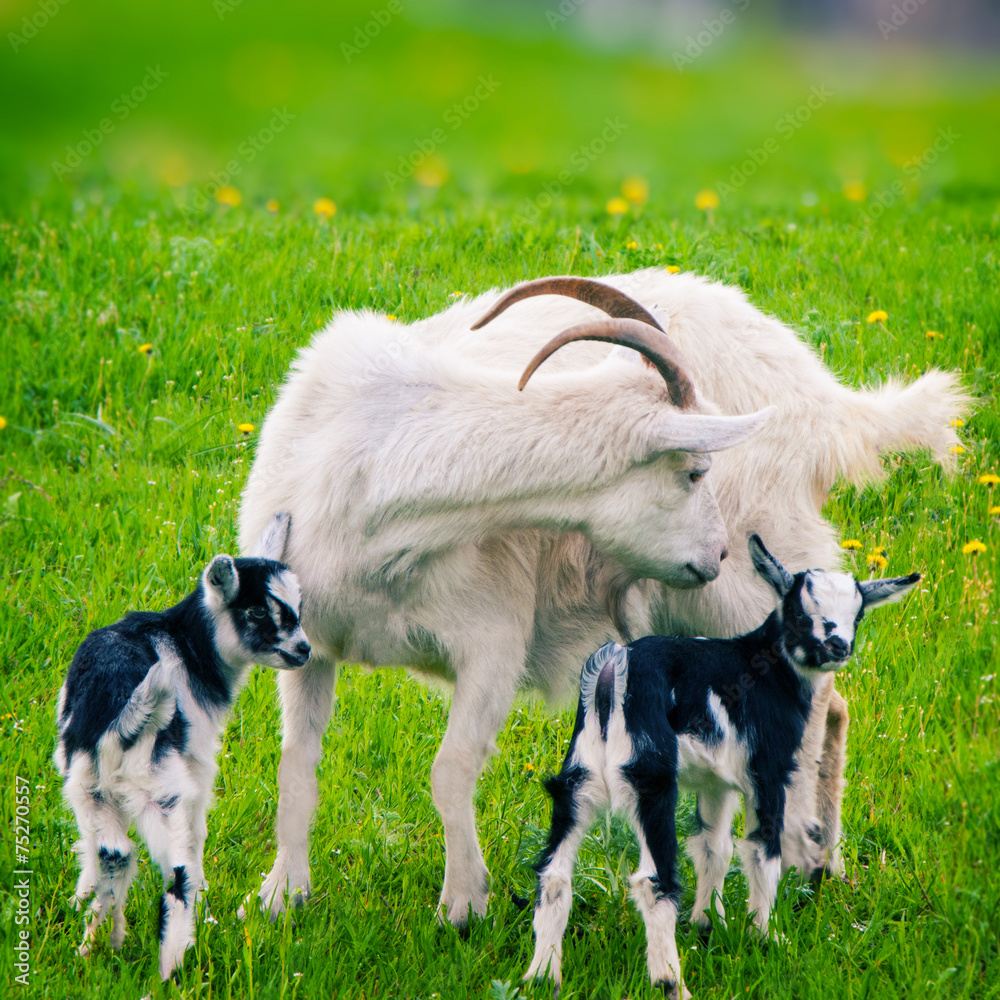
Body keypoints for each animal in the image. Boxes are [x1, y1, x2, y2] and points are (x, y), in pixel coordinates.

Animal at [55, 512, 310, 980]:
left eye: (298, 606)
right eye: (256, 611)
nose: (303, 650)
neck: (189, 645)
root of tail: (120, 720)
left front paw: (80, 900)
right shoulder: (197, 761)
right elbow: (198, 831)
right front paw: (206, 899)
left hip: (89, 786)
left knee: (113, 853)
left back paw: (96, 945)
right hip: (161, 786)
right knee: (175, 871)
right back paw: (175, 963)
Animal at [237, 269, 968, 927]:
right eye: (695, 471)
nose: (717, 555)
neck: (369, 467)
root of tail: (823, 401)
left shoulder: (493, 643)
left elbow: (451, 769)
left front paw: (463, 906)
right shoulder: (307, 646)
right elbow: (296, 765)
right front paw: (279, 898)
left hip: (761, 583)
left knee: (816, 704)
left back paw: (798, 859)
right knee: (830, 706)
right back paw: (817, 863)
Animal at [526, 535, 920, 998]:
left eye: (856, 615)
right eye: (800, 613)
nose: (838, 648)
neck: (766, 665)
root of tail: (612, 669)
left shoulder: (715, 782)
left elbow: (714, 846)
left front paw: (708, 924)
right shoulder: (768, 773)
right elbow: (763, 850)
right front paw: (765, 936)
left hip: (579, 776)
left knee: (554, 874)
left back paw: (541, 976)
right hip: (650, 778)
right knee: (653, 882)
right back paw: (671, 982)